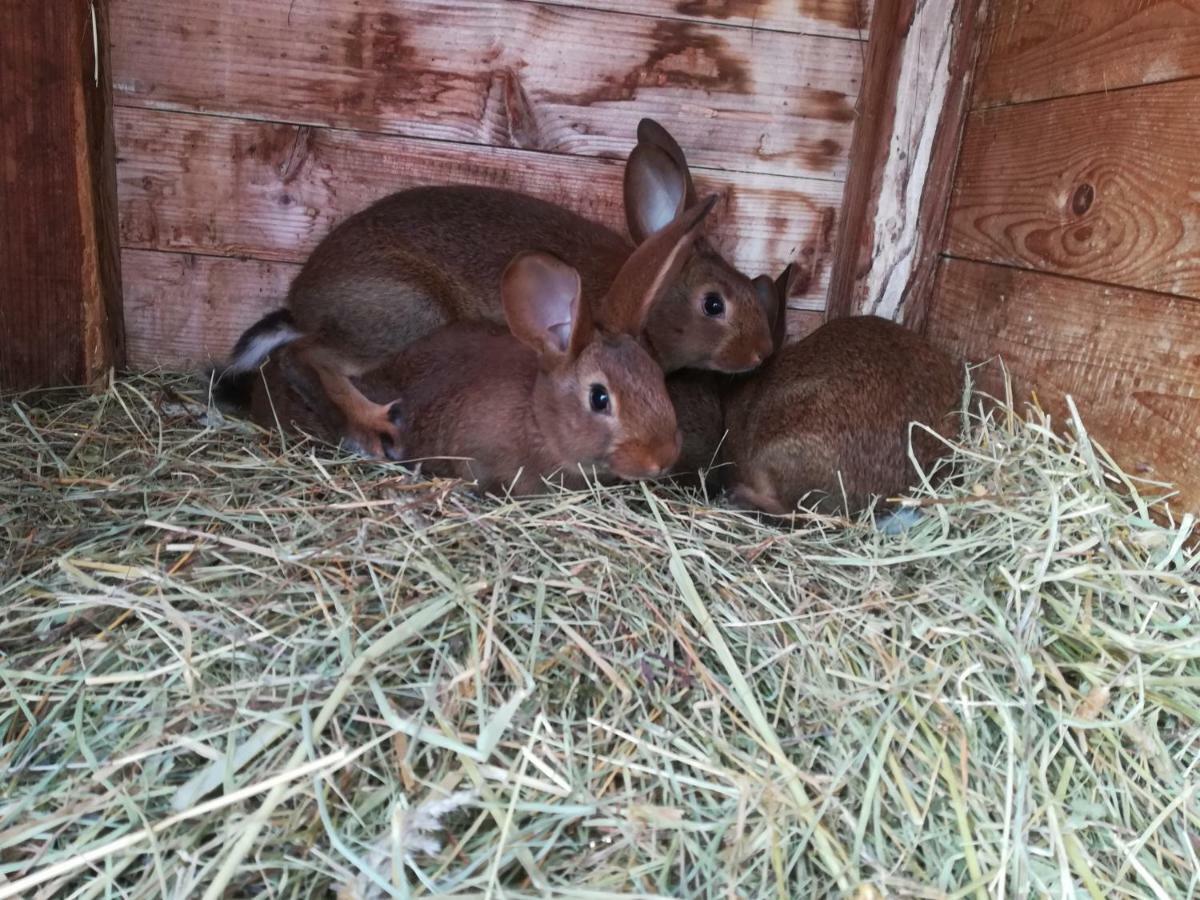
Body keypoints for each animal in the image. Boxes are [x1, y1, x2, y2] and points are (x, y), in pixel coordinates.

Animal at [219, 118, 772, 458]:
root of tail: (301, 303)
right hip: (404, 316)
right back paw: (373, 425)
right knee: (308, 357)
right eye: (714, 304)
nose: (762, 352)